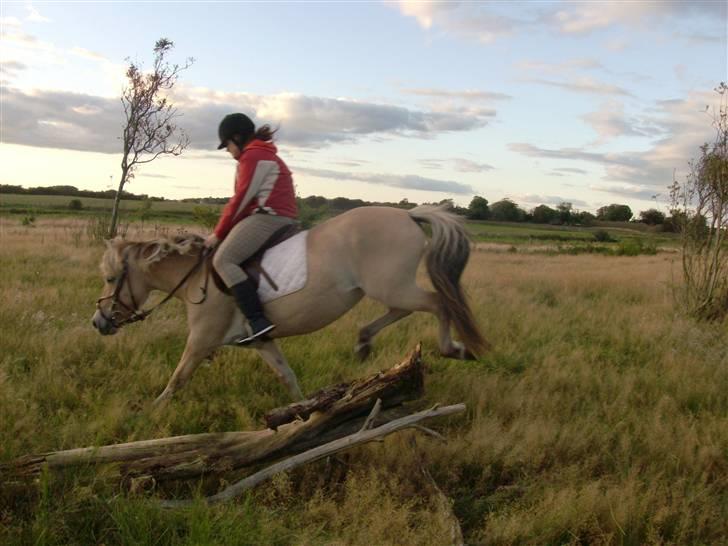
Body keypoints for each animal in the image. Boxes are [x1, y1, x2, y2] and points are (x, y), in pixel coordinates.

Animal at [91, 202, 490, 402]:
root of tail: (407, 214)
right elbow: (288, 377)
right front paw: (301, 414)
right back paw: (363, 342)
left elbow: (177, 380)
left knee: (438, 303)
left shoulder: (201, 341)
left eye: (110, 278)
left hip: (392, 285)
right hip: (390, 287)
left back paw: (454, 348)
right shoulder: (262, 341)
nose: (98, 323)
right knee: (406, 309)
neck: (196, 276)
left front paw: (151, 415)